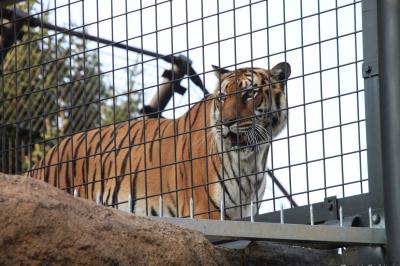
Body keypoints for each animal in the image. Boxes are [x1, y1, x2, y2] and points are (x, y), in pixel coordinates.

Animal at [27, 61, 290, 219]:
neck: (250, 160)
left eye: (250, 93)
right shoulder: (205, 209)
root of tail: (41, 162)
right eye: (223, 97)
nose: (226, 122)